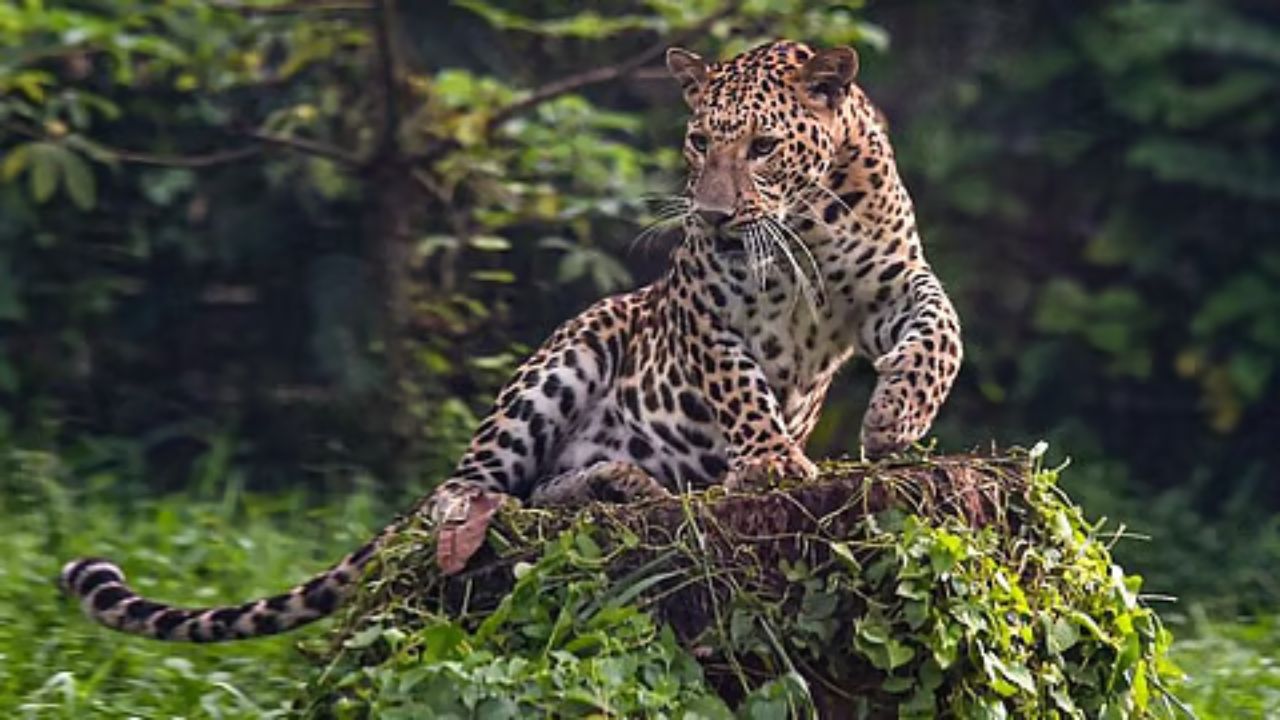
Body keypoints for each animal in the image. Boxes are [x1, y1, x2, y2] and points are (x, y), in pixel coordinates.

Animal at [60, 40, 962, 642]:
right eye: (701, 140)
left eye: (765, 147)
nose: (710, 216)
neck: (805, 220)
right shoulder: (709, 311)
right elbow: (739, 386)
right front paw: (774, 461)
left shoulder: (895, 281)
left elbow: (940, 331)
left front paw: (895, 422)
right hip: (574, 349)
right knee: (469, 489)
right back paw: (519, 507)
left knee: (545, 493)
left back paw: (622, 486)